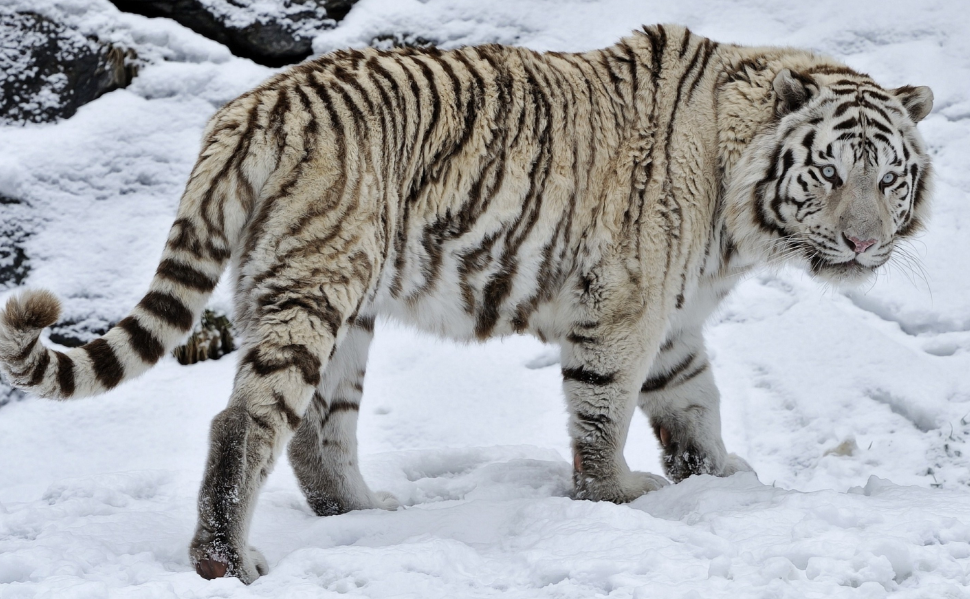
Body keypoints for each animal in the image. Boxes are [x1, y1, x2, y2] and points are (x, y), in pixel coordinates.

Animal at [0, 25, 932, 584]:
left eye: (888, 176)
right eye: (829, 172)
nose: (862, 243)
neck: (739, 206)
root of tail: (251, 106)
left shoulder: (674, 321)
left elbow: (695, 403)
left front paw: (722, 479)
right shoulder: (623, 307)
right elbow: (605, 410)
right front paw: (617, 495)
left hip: (342, 308)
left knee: (316, 427)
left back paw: (360, 510)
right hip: (316, 285)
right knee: (245, 421)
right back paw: (227, 560)